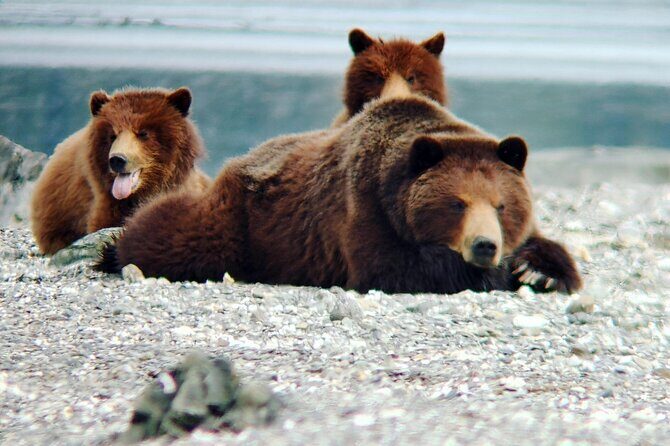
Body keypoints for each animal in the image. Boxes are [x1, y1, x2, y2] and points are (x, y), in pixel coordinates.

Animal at [99, 94, 581, 295]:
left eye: (501, 205)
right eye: (456, 203)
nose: (485, 246)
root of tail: (243, 157)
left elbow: (546, 246)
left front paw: (539, 270)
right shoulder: (362, 207)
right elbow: (393, 268)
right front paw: (497, 272)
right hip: (239, 221)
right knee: (175, 231)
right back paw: (115, 249)